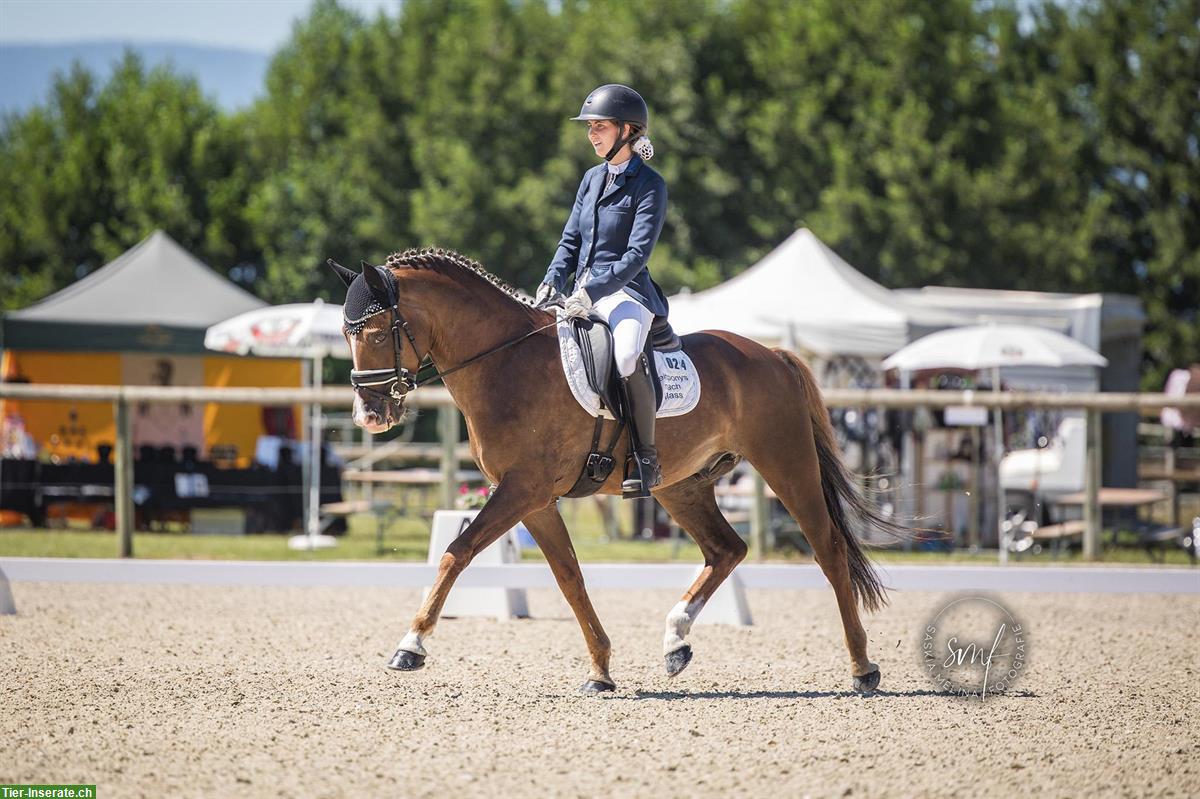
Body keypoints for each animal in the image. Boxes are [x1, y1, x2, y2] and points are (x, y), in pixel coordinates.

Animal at [328, 247, 902, 691]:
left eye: (376, 333)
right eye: (345, 332)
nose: (369, 416)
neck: (505, 363)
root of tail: (773, 353)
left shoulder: (522, 489)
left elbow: (457, 552)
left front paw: (411, 645)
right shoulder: (533, 499)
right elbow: (569, 577)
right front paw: (601, 670)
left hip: (786, 463)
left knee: (828, 549)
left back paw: (862, 668)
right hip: (681, 485)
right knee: (727, 549)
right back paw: (675, 642)